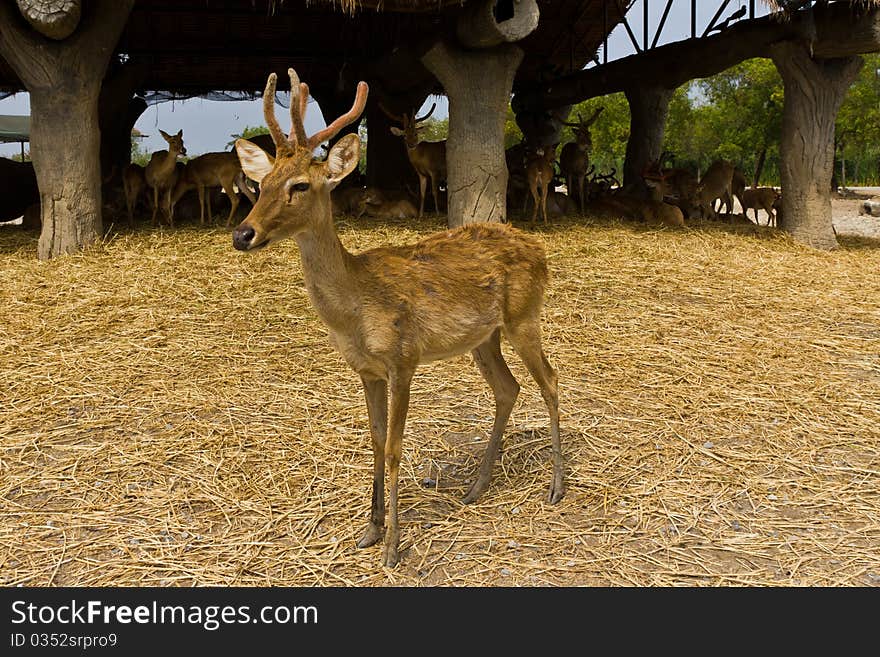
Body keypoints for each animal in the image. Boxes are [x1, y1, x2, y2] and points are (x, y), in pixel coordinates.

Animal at [232, 68, 564, 568]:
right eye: (262, 182)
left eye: (300, 185)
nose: (242, 233)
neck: (355, 310)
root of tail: (539, 249)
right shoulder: (366, 370)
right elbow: (373, 440)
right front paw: (368, 530)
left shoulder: (403, 358)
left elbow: (393, 447)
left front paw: (391, 547)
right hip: (483, 337)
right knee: (509, 389)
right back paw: (475, 487)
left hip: (525, 316)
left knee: (550, 380)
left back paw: (556, 488)